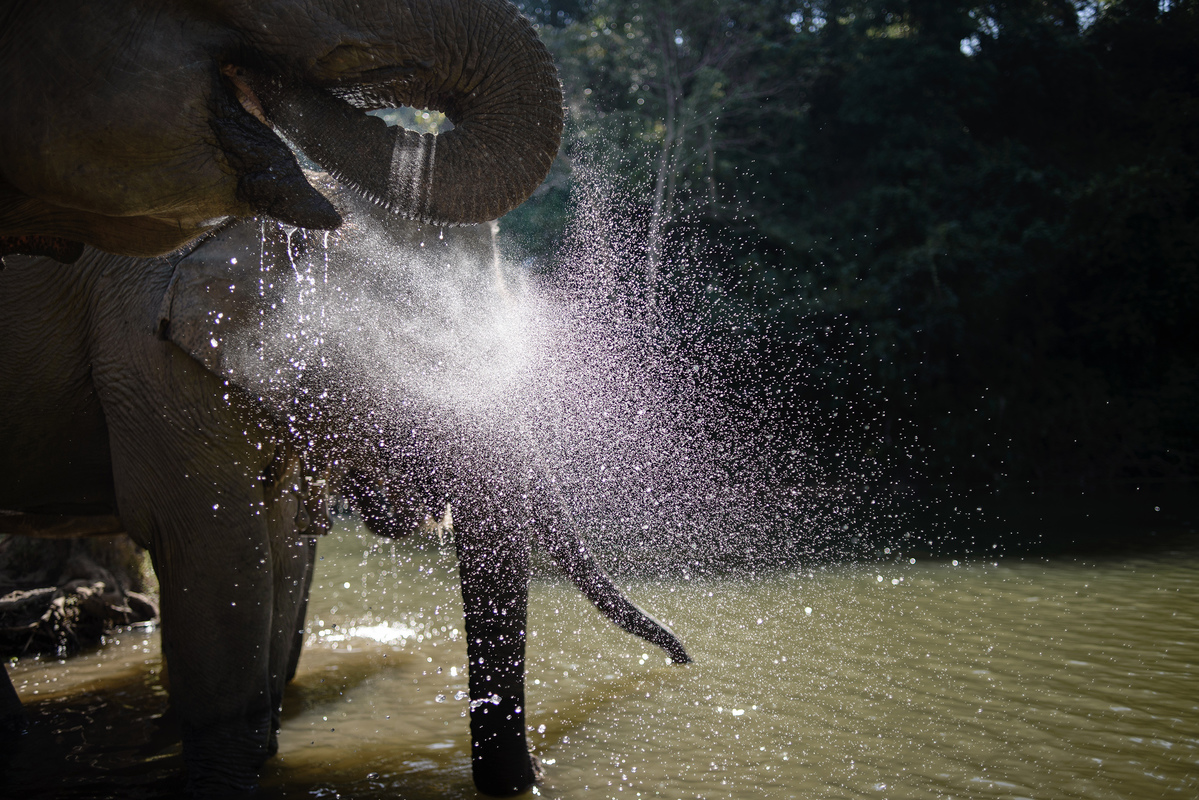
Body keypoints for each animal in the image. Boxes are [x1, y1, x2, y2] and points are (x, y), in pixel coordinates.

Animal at [0, 179, 690, 797]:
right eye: (420, 360)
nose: (683, 660)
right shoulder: (149, 360)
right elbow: (217, 551)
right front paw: (226, 781)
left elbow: (276, 553)